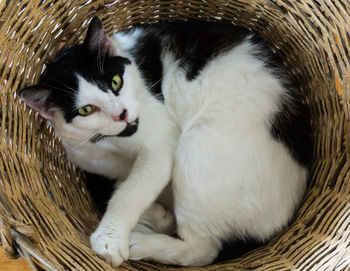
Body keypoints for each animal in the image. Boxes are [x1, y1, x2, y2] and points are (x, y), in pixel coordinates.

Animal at [19, 17, 310, 268]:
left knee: (202, 250)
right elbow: (124, 185)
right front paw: (149, 212)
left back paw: (140, 242)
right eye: (86, 110)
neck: (112, 143)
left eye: (116, 81)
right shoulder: (89, 156)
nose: (121, 114)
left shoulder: (160, 146)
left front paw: (110, 238)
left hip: (196, 149)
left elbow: (128, 194)